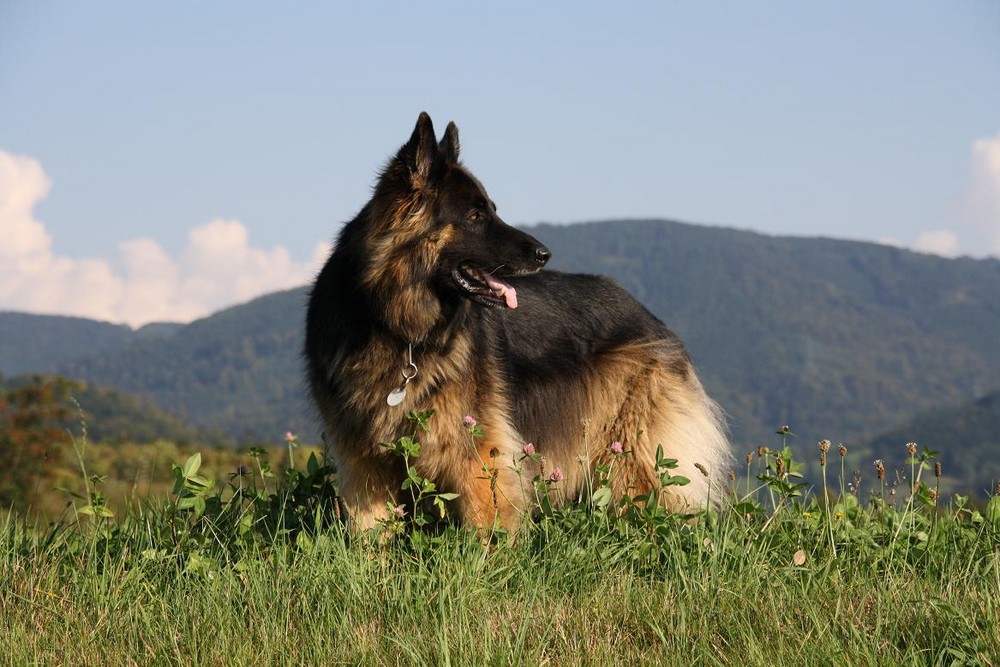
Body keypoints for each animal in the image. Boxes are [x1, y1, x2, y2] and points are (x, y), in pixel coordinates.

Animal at [300, 113, 732, 532]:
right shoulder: (364, 463)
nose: (544, 254)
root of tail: (649, 316)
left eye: (493, 208)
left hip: (632, 459)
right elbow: (372, 534)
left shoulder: (477, 453)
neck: (394, 323)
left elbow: (487, 530)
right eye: (475, 216)